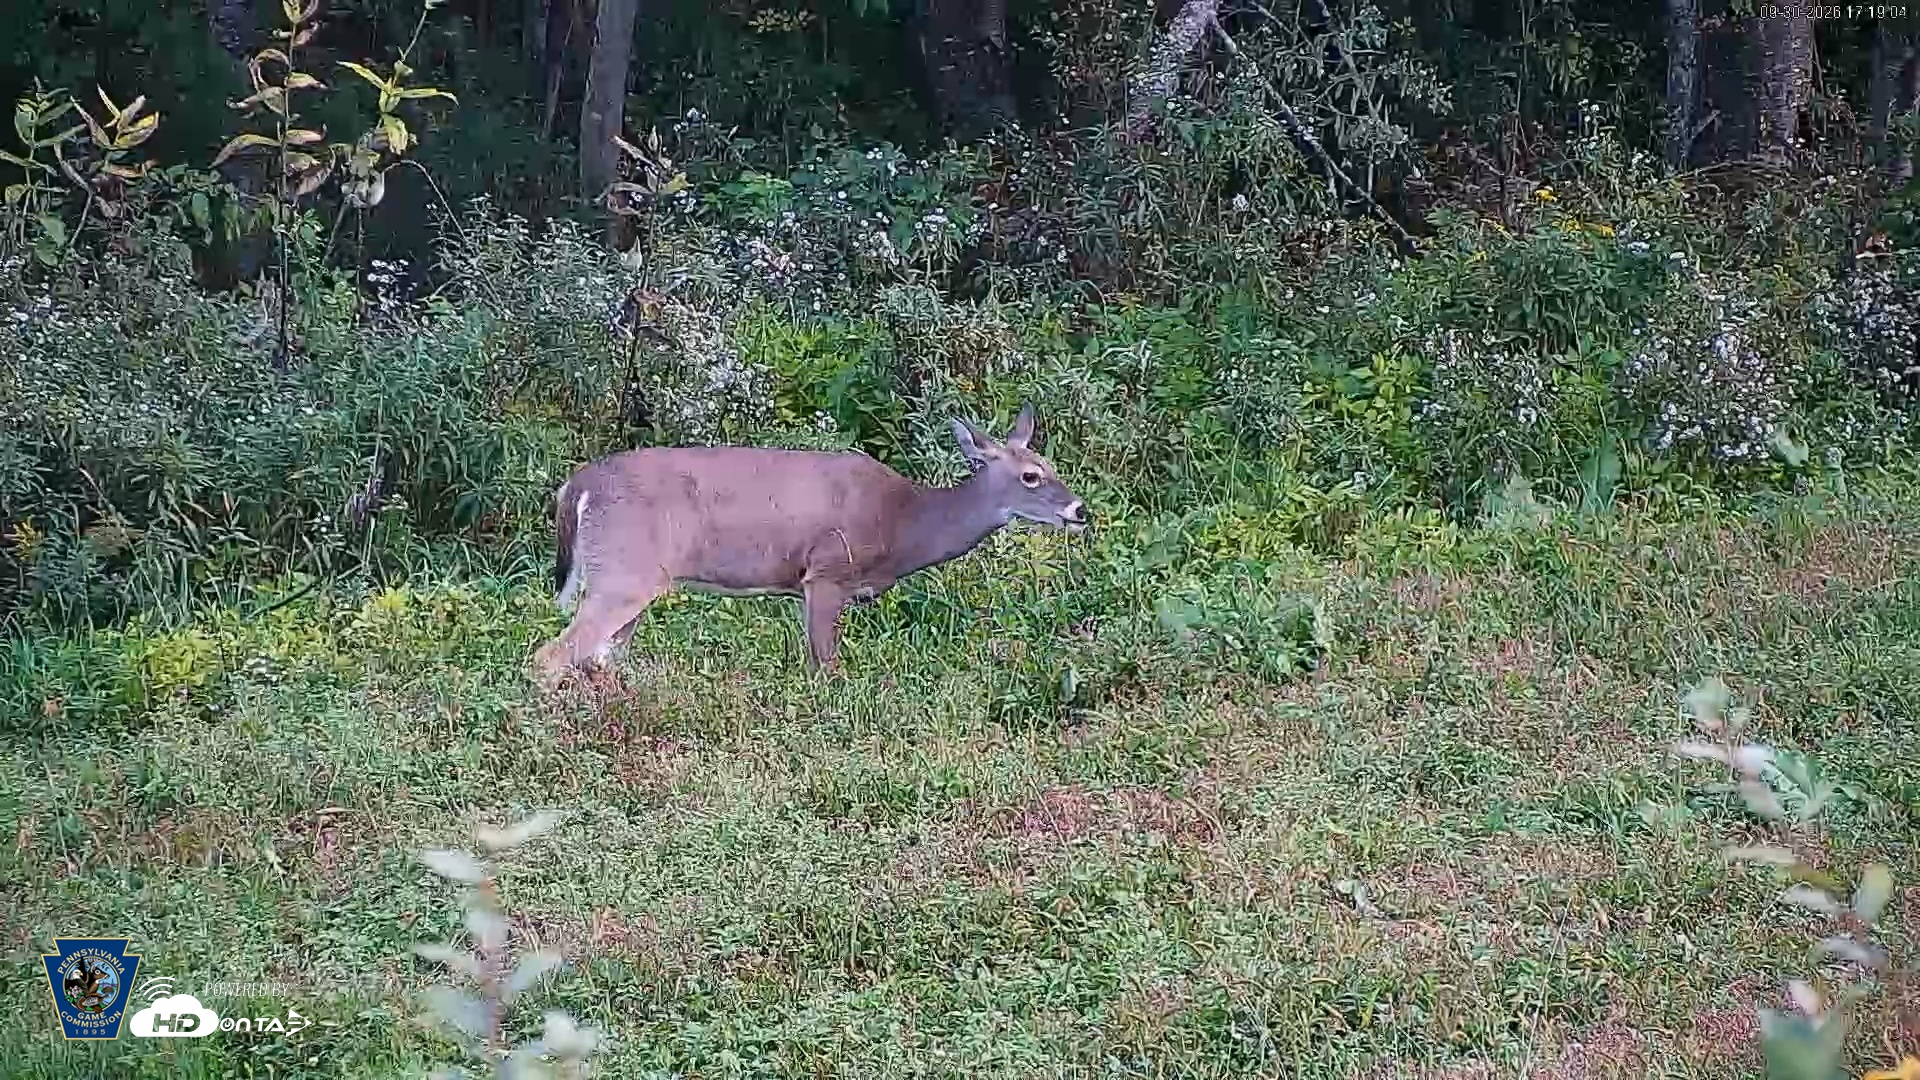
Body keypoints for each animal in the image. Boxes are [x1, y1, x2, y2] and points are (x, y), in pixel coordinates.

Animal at [531, 403, 1088, 688]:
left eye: (1051, 465)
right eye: (1032, 475)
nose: (1080, 510)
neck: (903, 522)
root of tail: (575, 487)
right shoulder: (826, 573)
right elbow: (826, 668)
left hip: (635, 578)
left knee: (599, 656)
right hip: (625, 572)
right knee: (552, 654)